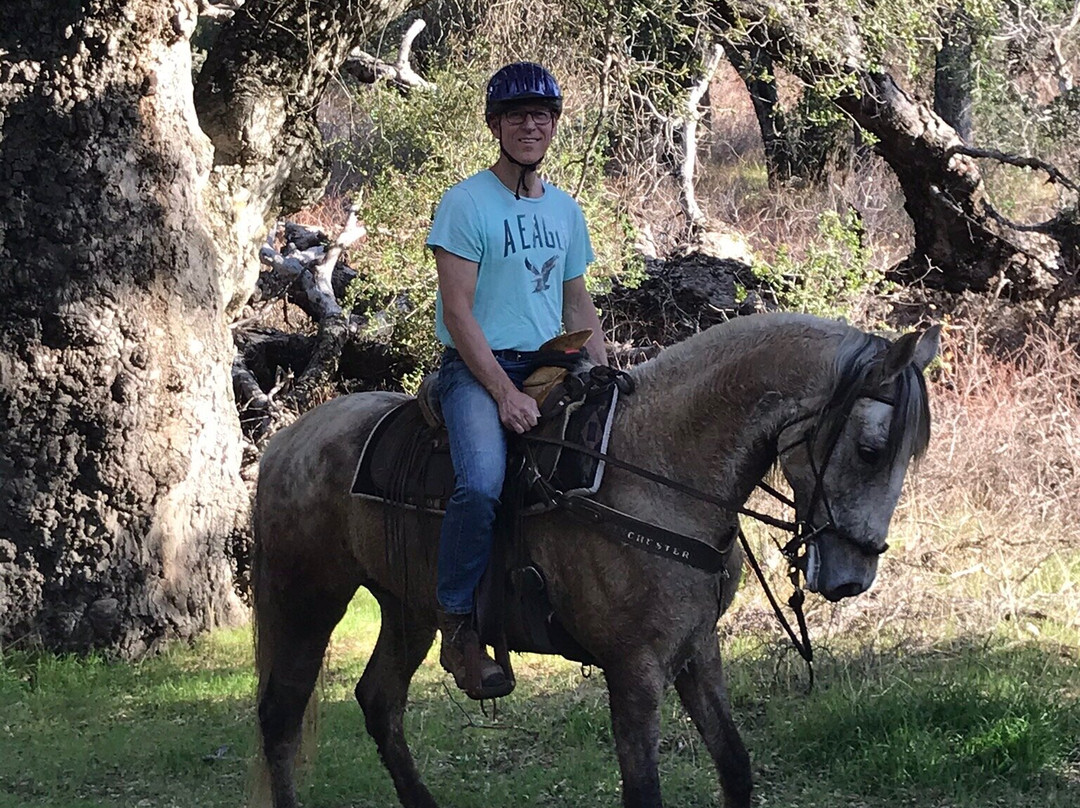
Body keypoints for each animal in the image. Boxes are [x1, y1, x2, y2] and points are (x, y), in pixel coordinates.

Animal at [250, 313, 937, 803]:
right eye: (872, 450)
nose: (852, 578)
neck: (657, 468)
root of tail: (289, 440)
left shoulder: (696, 648)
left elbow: (735, 766)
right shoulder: (633, 670)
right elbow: (644, 791)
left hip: (408, 608)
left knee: (379, 702)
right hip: (306, 599)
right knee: (280, 718)